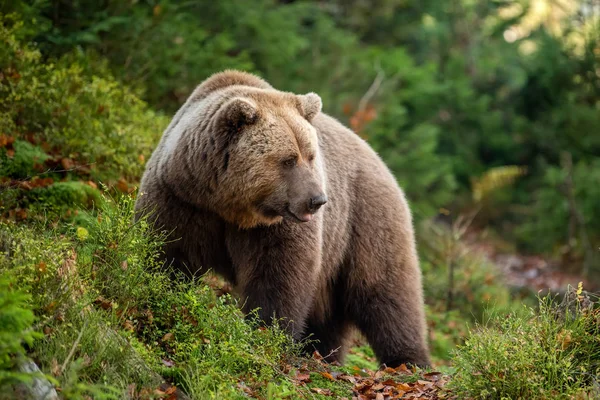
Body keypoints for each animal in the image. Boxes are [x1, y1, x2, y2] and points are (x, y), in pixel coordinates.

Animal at [135, 70, 432, 368]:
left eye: (311, 155)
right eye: (288, 159)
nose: (317, 200)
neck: (230, 206)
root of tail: (383, 164)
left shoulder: (278, 225)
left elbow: (280, 274)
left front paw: (268, 333)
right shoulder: (183, 199)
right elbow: (168, 252)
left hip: (365, 220)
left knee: (387, 295)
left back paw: (409, 361)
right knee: (331, 317)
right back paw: (323, 354)